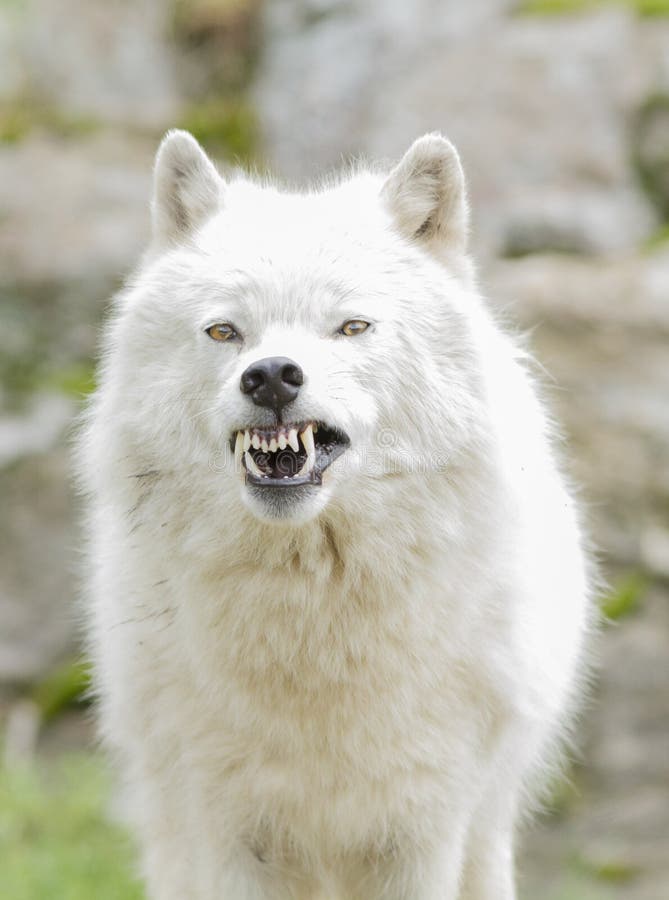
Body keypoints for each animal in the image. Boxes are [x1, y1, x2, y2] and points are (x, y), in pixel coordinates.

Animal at [78, 130, 591, 899]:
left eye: (351, 326)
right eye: (224, 331)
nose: (270, 376)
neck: (312, 611)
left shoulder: (422, 828)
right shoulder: (230, 831)